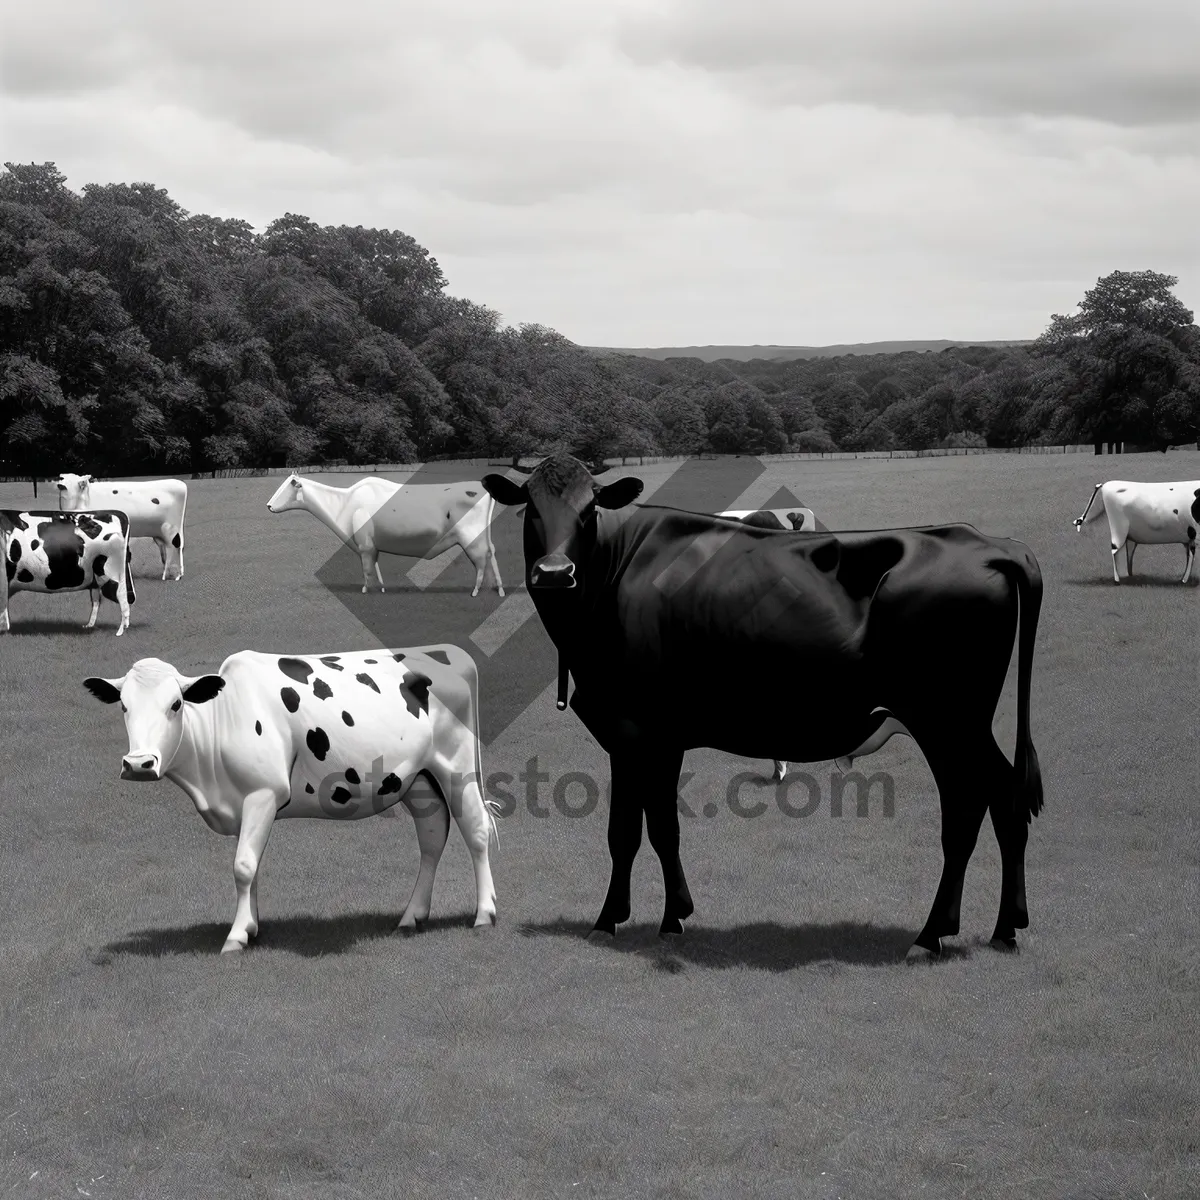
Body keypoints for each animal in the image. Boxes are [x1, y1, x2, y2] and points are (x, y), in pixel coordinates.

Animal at [1, 508, 136, 638]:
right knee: (97, 599)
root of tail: (117, 513)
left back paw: (120, 632)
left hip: (113, 574)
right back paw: (89, 626)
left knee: (122, 598)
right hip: (98, 578)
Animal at [57, 472, 188, 580]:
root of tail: (180, 484)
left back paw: (175, 575)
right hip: (161, 533)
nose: (59, 480)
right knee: (167, 550)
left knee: (176, 547)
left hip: (172, 530)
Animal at [83, 643, 496, 950]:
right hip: (417, 779)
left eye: (176, 704)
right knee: (432, 837)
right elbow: (252, 866)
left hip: (456, 768)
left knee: (476, 831)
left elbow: (243, 866)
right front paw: (251, 926)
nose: (139, 764)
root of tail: (445, 651)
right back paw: (412, 916)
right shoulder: (245, 802)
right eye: (124, 706)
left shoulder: (263, 793)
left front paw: (236, 937)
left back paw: (484, 914)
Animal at [265, 472, 504, 595]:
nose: (268, 505)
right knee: (491, 554)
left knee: (481, 561)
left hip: (472, 538)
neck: (344, 504)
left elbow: (367, 568)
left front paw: (365, 590)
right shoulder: (372, 545)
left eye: (288, 486)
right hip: (482, 537)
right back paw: (497, 588)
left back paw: (476, 591)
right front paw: (380, 588)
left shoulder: (364, 544)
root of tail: (480, 486)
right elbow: (376, 567)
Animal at [482, 453, 1046, 960]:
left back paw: (932, 934)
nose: (555, 572)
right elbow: (653, 828)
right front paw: (667, 917)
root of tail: (986, 543)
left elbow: (633, 830)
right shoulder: (649, 737)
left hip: (946, 722)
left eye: (590, 508)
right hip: (967, 726)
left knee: (967, 809)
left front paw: (614, 921)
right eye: (529, 507)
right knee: (1004, 796)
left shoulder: (638, 731)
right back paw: (1005, 929)